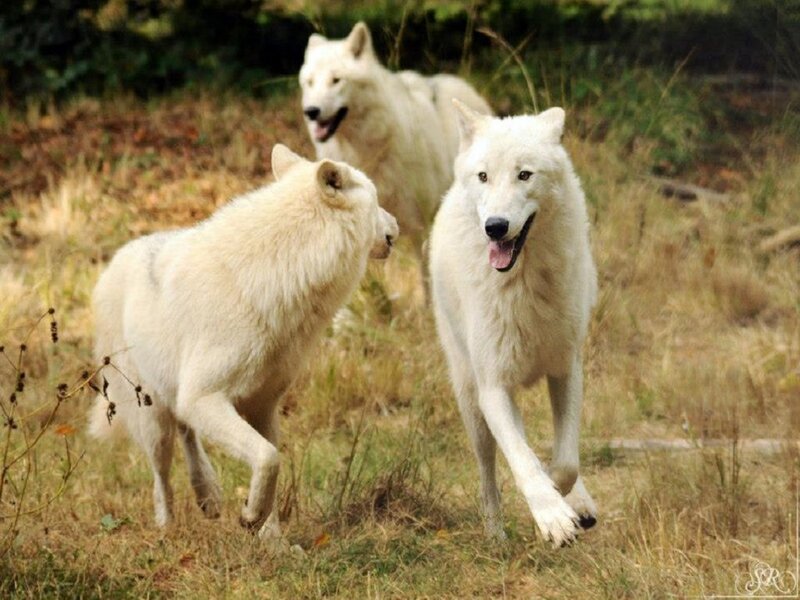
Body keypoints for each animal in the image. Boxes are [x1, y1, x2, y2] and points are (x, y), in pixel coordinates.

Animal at [88, 145, 398, 542]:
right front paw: (251, 517)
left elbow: (272, 464)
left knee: (188, 432)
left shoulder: (263, 405)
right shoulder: (205, 396)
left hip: (178, 394)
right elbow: (268, 458)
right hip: (153, 418)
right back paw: (167, 528)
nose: (396, 228)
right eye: (376, 200)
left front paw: (273, 540)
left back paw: (208, 496)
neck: (285, 270)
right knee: (162, 473)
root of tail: (114, 261)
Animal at [429, 101, 599, 547]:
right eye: (484, 176)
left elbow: (565, 462)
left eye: (525, 174)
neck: (523, 285)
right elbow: (524, 461)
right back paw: (495, 534)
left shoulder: (567, 369)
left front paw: (566, 501)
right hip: (471, 402)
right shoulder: (493, 388)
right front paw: (552, 518)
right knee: (489, 472)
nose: (496, 227)